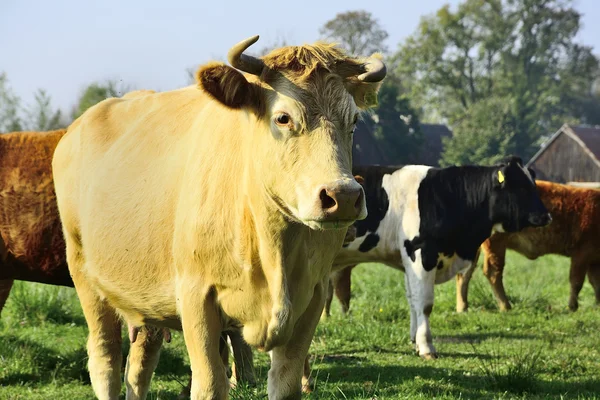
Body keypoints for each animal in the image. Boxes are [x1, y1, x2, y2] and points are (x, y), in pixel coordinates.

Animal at [54, 36, 386, 398]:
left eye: (353, 121)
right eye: (283, 118)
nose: (343, 196)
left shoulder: (312, 295)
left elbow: (286, 382)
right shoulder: (196, 296)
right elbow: (210, 383)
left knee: (139, 366)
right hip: (85, 276)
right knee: (106, 360)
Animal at [330, 157, 552, 360]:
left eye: (533, 184)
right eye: (521, 187)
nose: (546, 216)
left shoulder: (408, 260)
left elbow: (413, 299)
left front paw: (415, 340)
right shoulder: (421, 253)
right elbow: (425, 303)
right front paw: (426, 347)